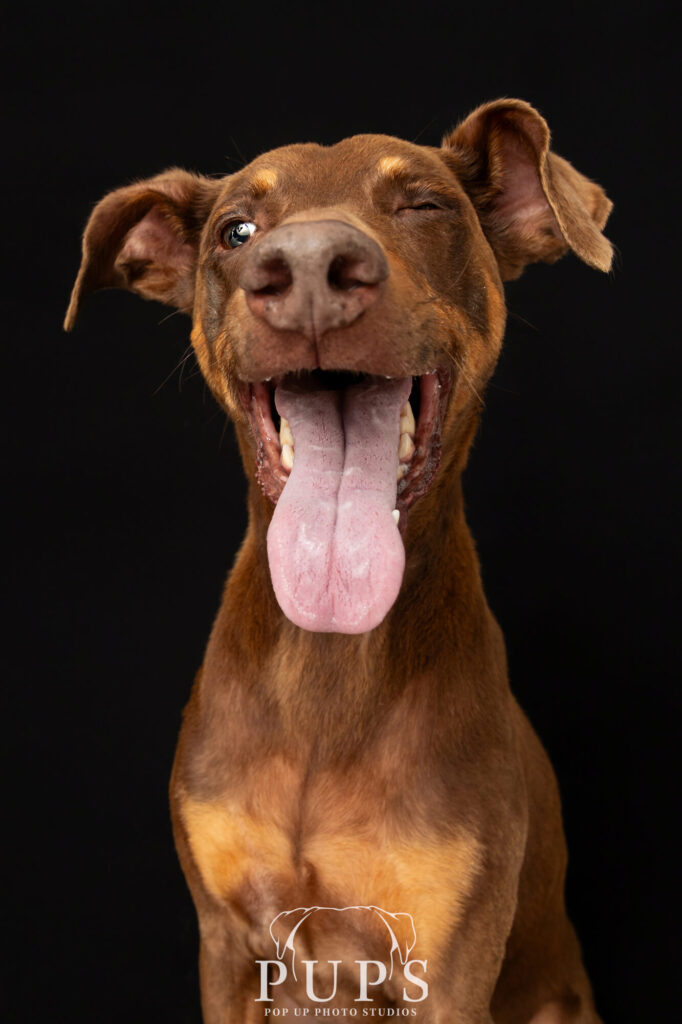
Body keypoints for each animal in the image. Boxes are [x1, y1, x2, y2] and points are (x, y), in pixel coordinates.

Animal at [65, 97, 610, 1024]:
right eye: (236, 231)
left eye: (424, 205)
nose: (310, 267)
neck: (328, 656)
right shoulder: (228, 947)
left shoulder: (449, 963)